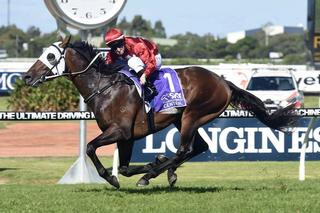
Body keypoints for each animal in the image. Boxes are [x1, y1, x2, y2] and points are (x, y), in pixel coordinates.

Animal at [23, 36, 298, 188]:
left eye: (50, 55)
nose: (26, 77)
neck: (105, 87)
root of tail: (223, 81)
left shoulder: (120, 131)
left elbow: (91, 147)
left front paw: (114, 177)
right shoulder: (127, 136)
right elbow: (124, 167)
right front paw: (143, 166)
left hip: (192, 116)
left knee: (185, 149)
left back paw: (154, 173)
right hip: (184, 119)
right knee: (198, 147)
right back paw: (166, 171)